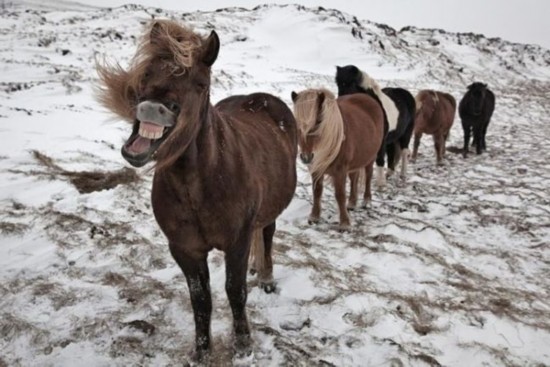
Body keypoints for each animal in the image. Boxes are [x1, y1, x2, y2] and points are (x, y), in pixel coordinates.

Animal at [97, 20, 300, 362]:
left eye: (201, 83)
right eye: (147, 73)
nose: (152, 109)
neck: (200, 185)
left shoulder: (236, 242)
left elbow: (235, 291)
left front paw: (243, 344)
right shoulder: (185, 249)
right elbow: (200, 299)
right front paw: (201, 351)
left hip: (270, 212)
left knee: (267, 236)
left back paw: (266, 277)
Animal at [292, 88, 386, 230]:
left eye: (318, 122)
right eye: (297, 123)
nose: (306, 157)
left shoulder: (340, 171)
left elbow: (340, 195)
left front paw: (344, 223)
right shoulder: (316, 169)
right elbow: (317, 191)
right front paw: (314, 216)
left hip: (370, 158)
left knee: (368, 176)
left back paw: (366, 201)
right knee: (354, 178)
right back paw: (352, 203)